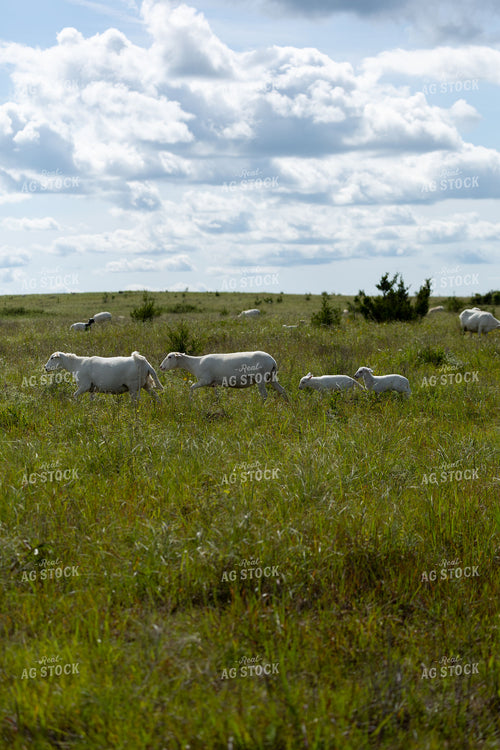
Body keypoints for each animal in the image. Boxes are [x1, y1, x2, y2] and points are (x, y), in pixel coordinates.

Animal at [159, 351, 288, 401]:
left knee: (264, 395)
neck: (195, 363)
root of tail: (273, 361)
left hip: (261, 378)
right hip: (272, 378)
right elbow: (217, 396)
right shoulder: (213, 384)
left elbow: (191, 387)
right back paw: (288, 403)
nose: (161, 367)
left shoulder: (205, 380)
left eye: (170, 357)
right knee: (282, 390)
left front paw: (190, 400)